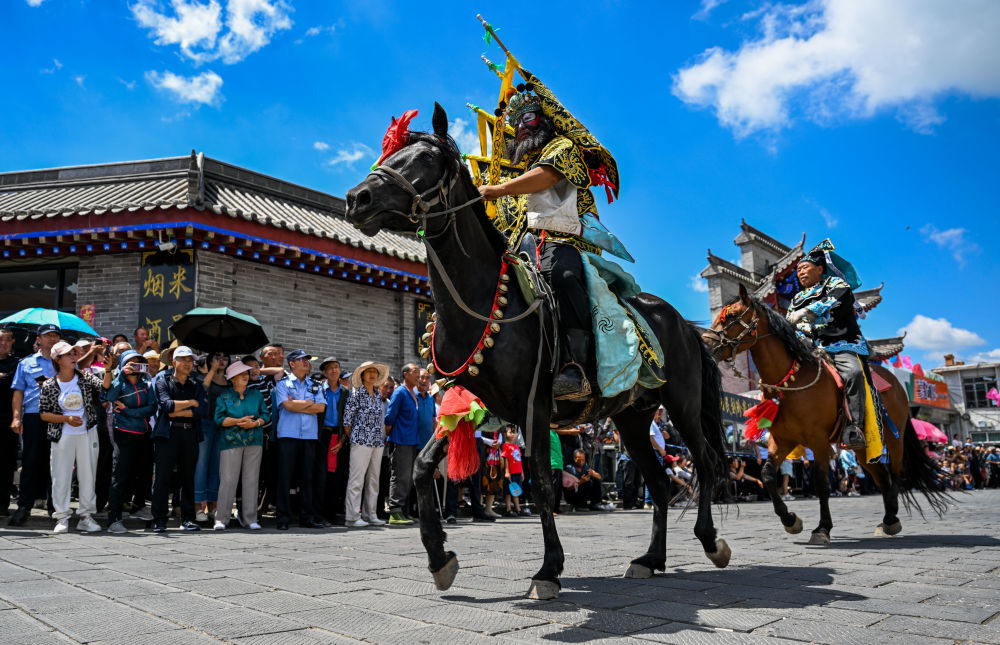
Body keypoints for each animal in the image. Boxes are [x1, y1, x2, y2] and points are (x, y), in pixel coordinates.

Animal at [348, 102, 732, 600]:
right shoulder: (473, 401)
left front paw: (548, 569)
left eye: (424, 159)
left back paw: (710, 542)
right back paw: (650, 559)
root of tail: (682, 323)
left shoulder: (535, 403)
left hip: (682, 402)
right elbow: (421, 468)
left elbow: (543, 483)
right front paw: (439, 556)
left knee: (705, 463)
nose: (357, 199)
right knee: (660, 482)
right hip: (633, 415)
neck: (481, 300)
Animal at [700, 284, 940, 540]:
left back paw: (892, 519)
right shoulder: (782, 440)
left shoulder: (819, 441)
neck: (792, 380)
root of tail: (894, 382)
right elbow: (768, 475)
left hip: (895, 438)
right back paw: (888, 520)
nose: (705, 346)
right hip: (864, 447)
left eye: (732, 316)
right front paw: (790, 520)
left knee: (896, 473)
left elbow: (822, 483)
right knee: (881, 477)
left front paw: (822, 528)